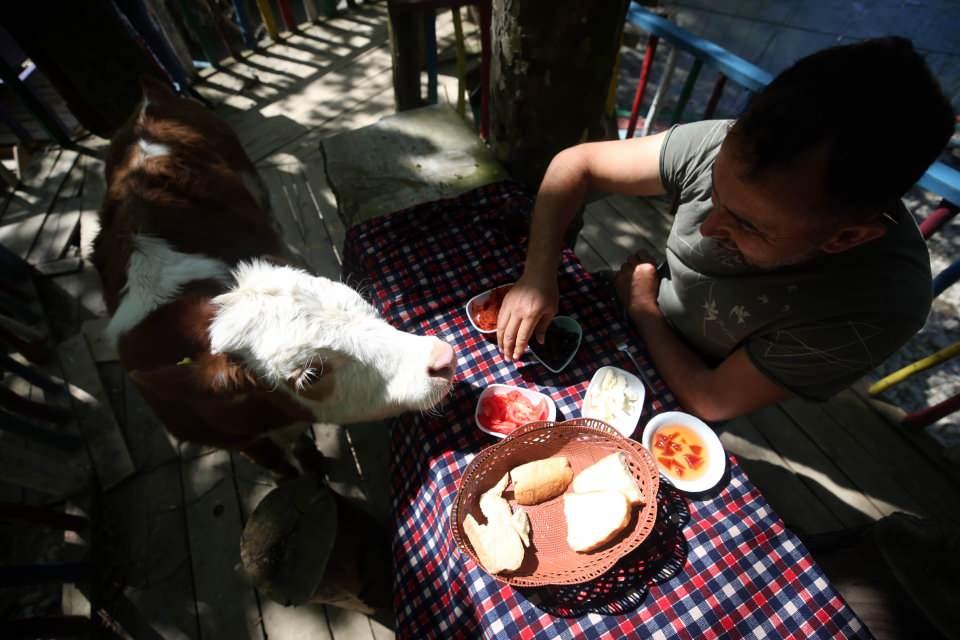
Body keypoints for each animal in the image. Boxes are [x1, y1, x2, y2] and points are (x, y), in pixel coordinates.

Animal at [94, 76, 458, 476]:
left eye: (363, 303)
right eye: (310, 374)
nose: (442, 357)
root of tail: (148, 97)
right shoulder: (238, 440)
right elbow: (279, 466)